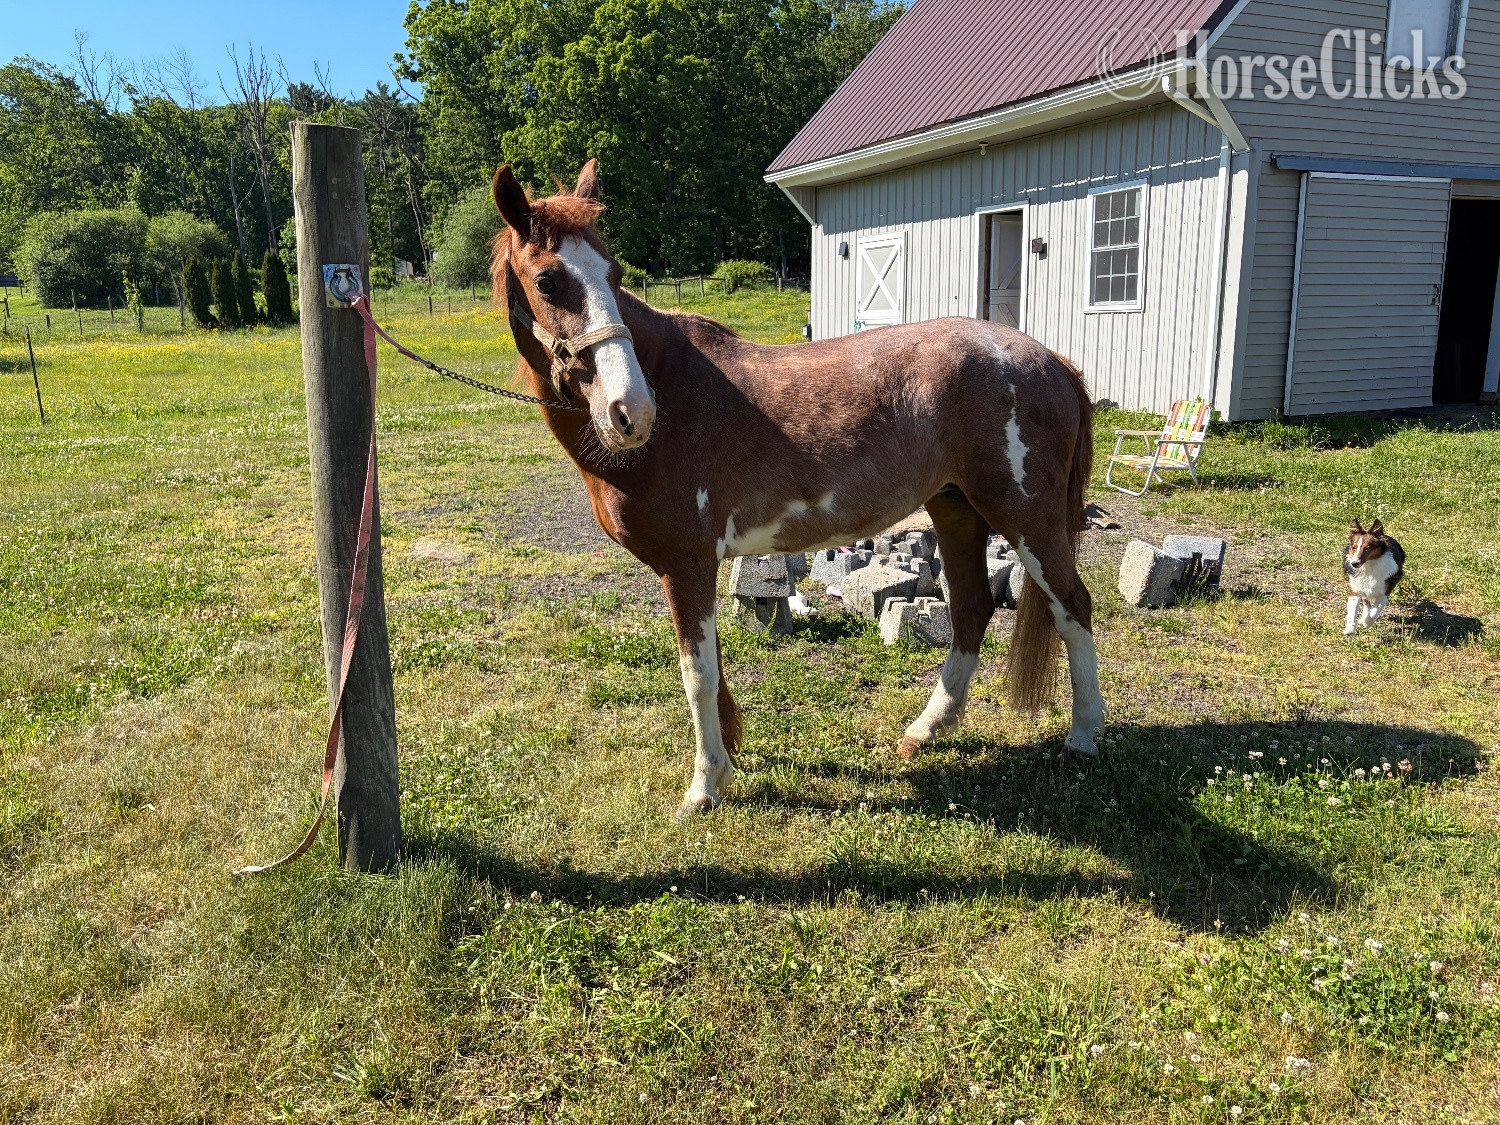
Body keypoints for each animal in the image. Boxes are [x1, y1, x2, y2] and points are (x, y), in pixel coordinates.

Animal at [490, 160, 1103, 819]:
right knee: (971, 608)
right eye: (548, 280)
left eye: (614, 274)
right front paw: (728, 758)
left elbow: (696, 673)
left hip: (1028, 517)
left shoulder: (687, 562)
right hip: (956, 508)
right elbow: (710, 667)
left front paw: (703, 788)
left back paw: (1084, 736)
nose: (632, 411)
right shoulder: (691, 568)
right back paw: (926, 730)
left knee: (1072, 607)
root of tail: (1049, 359)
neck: (675, 391)